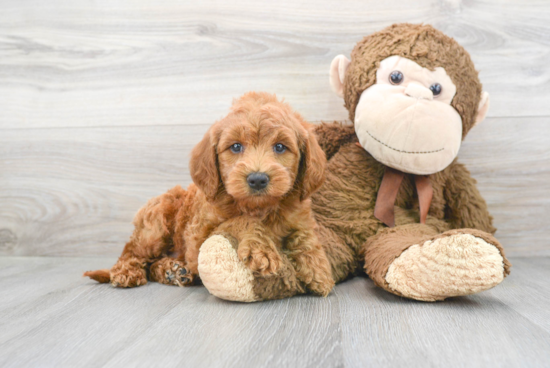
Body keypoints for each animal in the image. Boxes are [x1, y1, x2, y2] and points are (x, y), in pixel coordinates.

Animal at [85, 92, 336, 296]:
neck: (258, 207)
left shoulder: (298, 215)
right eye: (236, 147)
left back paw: (172, 271)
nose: (257, 179)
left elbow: (303, 234)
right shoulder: (198, 239)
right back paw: (127, 272)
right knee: (133, 251)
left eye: (280, 147)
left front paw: (317, 266)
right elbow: (240, 220)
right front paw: (262, 248)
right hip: (155, 225)